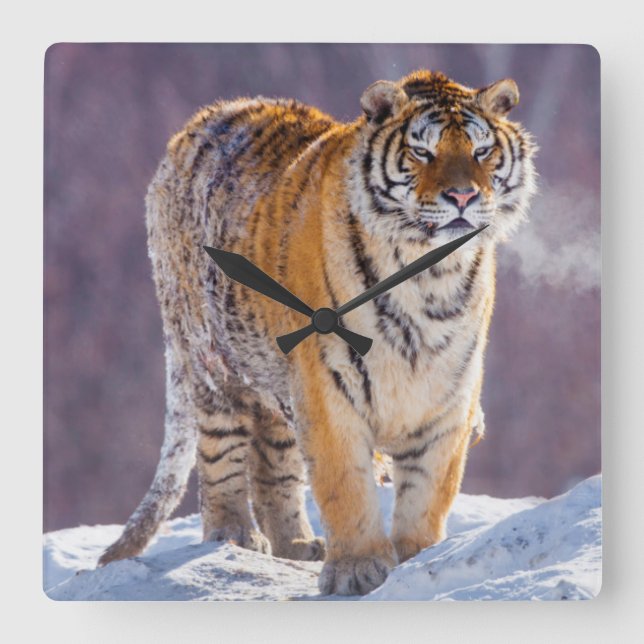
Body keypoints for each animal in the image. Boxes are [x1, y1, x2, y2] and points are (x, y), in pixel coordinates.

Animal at [98, 70, 537, 596]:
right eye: (422, 152)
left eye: (481, 151)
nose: (463, 197)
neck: (429, 278)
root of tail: (196, 125)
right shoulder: (328, 385)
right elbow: (344, 482)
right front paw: (358, 570)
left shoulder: (448, 393)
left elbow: (430, 488)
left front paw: (418, 558)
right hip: (212, 367)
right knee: (221, 456)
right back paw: (234, 536)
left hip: (275, 384)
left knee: (273, 467)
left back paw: (297, 544)